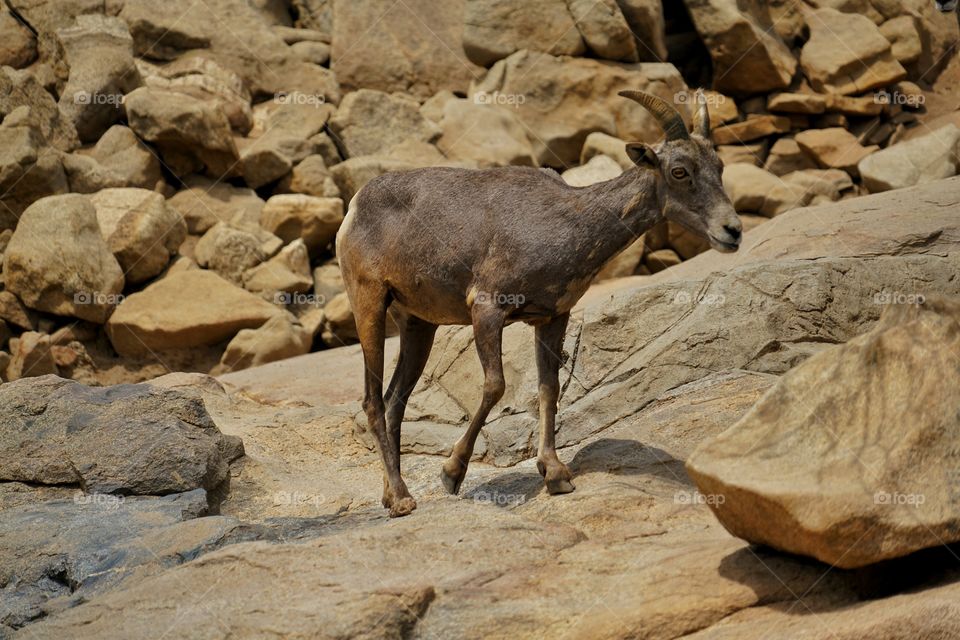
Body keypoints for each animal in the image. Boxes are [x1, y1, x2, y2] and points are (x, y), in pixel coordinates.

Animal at [338, 90, 744, 516]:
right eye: (679, 171)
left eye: (718, 166)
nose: (732, 231)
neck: (563, 224)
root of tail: (355, 207)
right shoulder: (487, 309)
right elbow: (495, 387)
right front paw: (452, 473)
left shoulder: (552, 319)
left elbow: (548, 388)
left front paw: (556, 474)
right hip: (369, 304)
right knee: (372, 401)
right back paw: (402, 500)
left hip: (419, 325)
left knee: (394, 401)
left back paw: (390, 495)